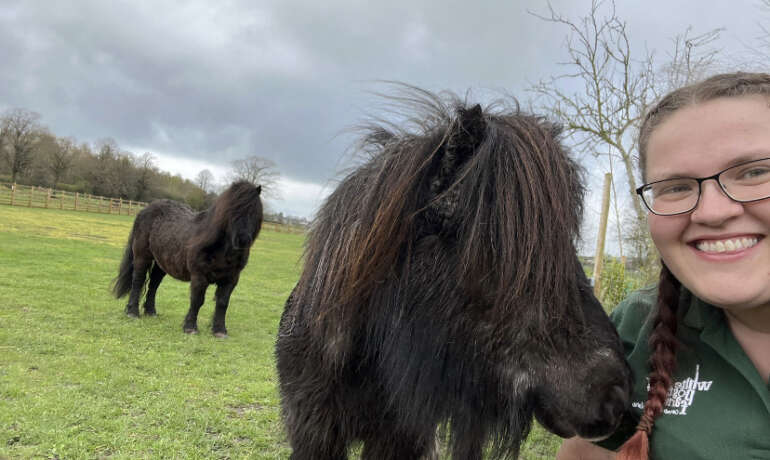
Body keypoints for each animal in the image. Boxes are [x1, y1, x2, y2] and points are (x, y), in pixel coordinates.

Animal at [109, 181, 262, 338]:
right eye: (232, 211)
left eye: (254, 211)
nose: (243, 240)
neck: (221, 250)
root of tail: (146, 209)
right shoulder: (199, 276)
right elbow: (197, 301)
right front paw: (190, 327)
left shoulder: (231, 279)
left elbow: (223, 303)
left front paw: (220, 331)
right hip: (142, 256)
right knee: (138, 281)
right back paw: (132, 312)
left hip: (161, 263)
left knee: (154, 285)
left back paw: (151, 312)